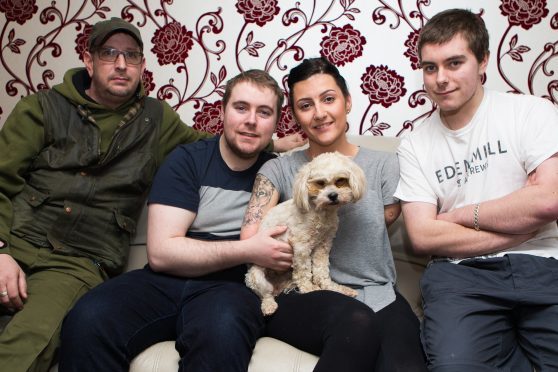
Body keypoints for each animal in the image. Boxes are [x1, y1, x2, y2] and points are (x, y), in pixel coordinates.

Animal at [245, 151, 368, 314]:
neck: (321, 213)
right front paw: (309, 289)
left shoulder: (323, 245)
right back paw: (269, 305)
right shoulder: (301, 246)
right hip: (255, 276)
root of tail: (277, 287)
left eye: (340, 181)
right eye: (320, 183)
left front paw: (331, 287)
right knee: (266, 294)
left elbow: (321, 270)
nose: (333, 195)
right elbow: (303, 271)